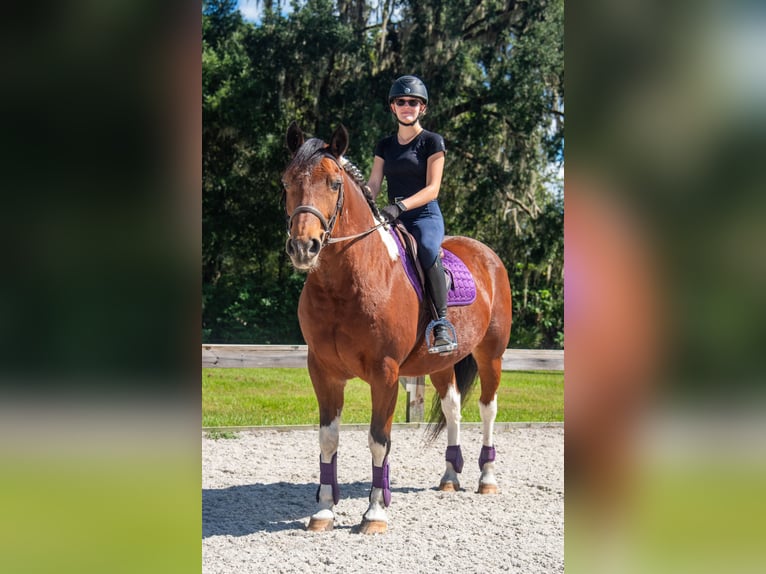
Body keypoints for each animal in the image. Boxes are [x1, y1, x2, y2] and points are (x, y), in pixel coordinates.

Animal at [282, 122, 512, 534]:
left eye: (334, 183)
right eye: (287, 182)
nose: (304, 247)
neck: (348, 281)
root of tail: (487, 255)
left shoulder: (385, 374)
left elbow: (379, 440)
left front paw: (374, 512)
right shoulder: (322, 371)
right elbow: (327, 439)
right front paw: (323, 510)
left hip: (492, 355)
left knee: (488, 409)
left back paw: (487, 478)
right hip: (441, 363)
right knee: (453, 408)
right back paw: (450, 476)